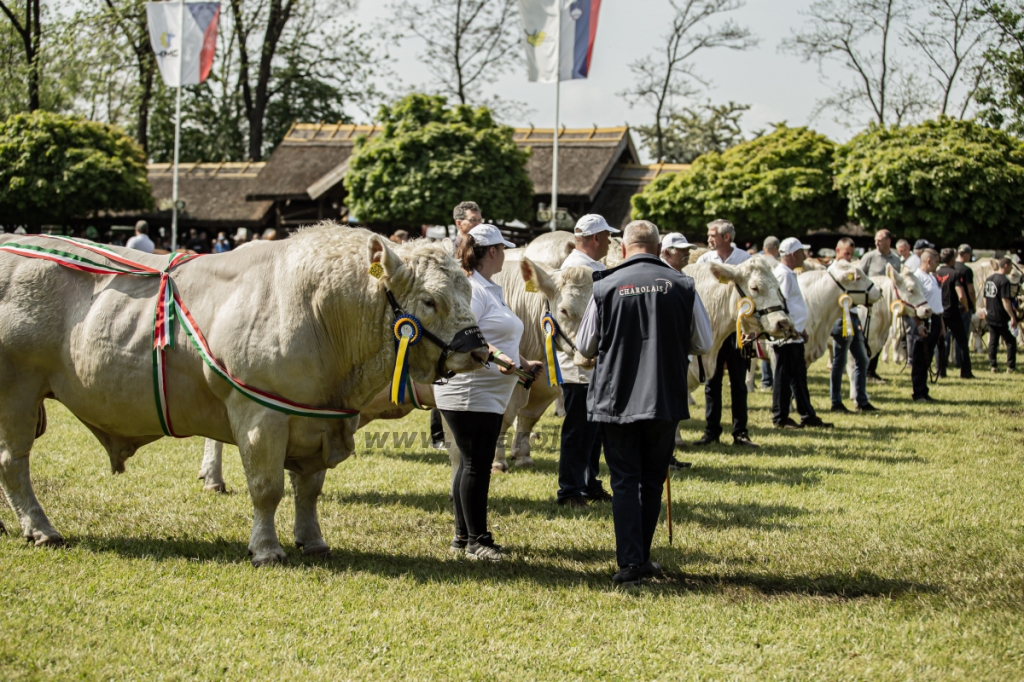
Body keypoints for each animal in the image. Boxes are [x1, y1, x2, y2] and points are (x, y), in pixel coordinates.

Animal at [0, 225, 485, 565]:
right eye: (429, 301)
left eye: (469, 291)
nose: (478, 349)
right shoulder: (260, 415)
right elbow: (267, 487)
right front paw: (266, 549)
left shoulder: (316, 419)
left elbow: (309, 489)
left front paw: (313, 540)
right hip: (17, 390)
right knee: (13, 463)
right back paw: (41, 529)